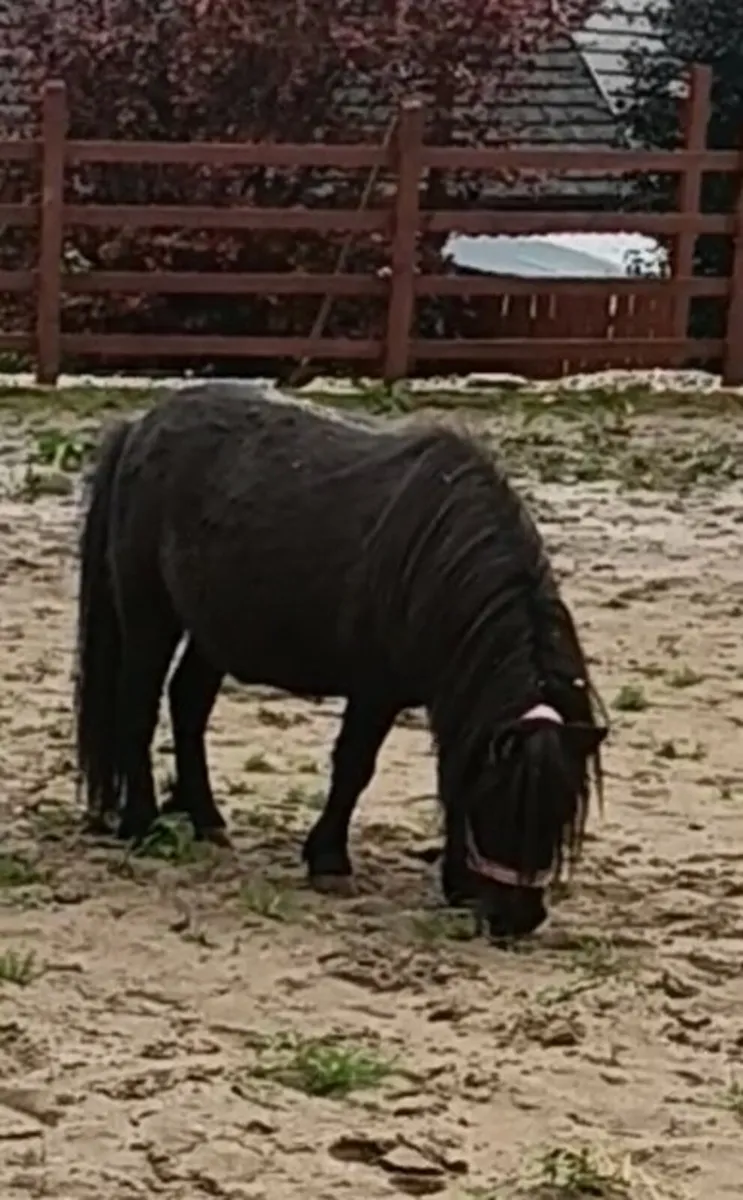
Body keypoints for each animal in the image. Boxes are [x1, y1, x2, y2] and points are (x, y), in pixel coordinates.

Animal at [74, 381, 607, 941]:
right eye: (504, 805)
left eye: (561, 813)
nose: (517, 920)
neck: (435, 557)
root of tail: (138, 427)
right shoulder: (375, 691)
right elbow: (354, 767)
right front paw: (329, 859)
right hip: (150, 614)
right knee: (138, 706)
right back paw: (142, 823)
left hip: (212, 630)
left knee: (187, 703)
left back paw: (206, 818)